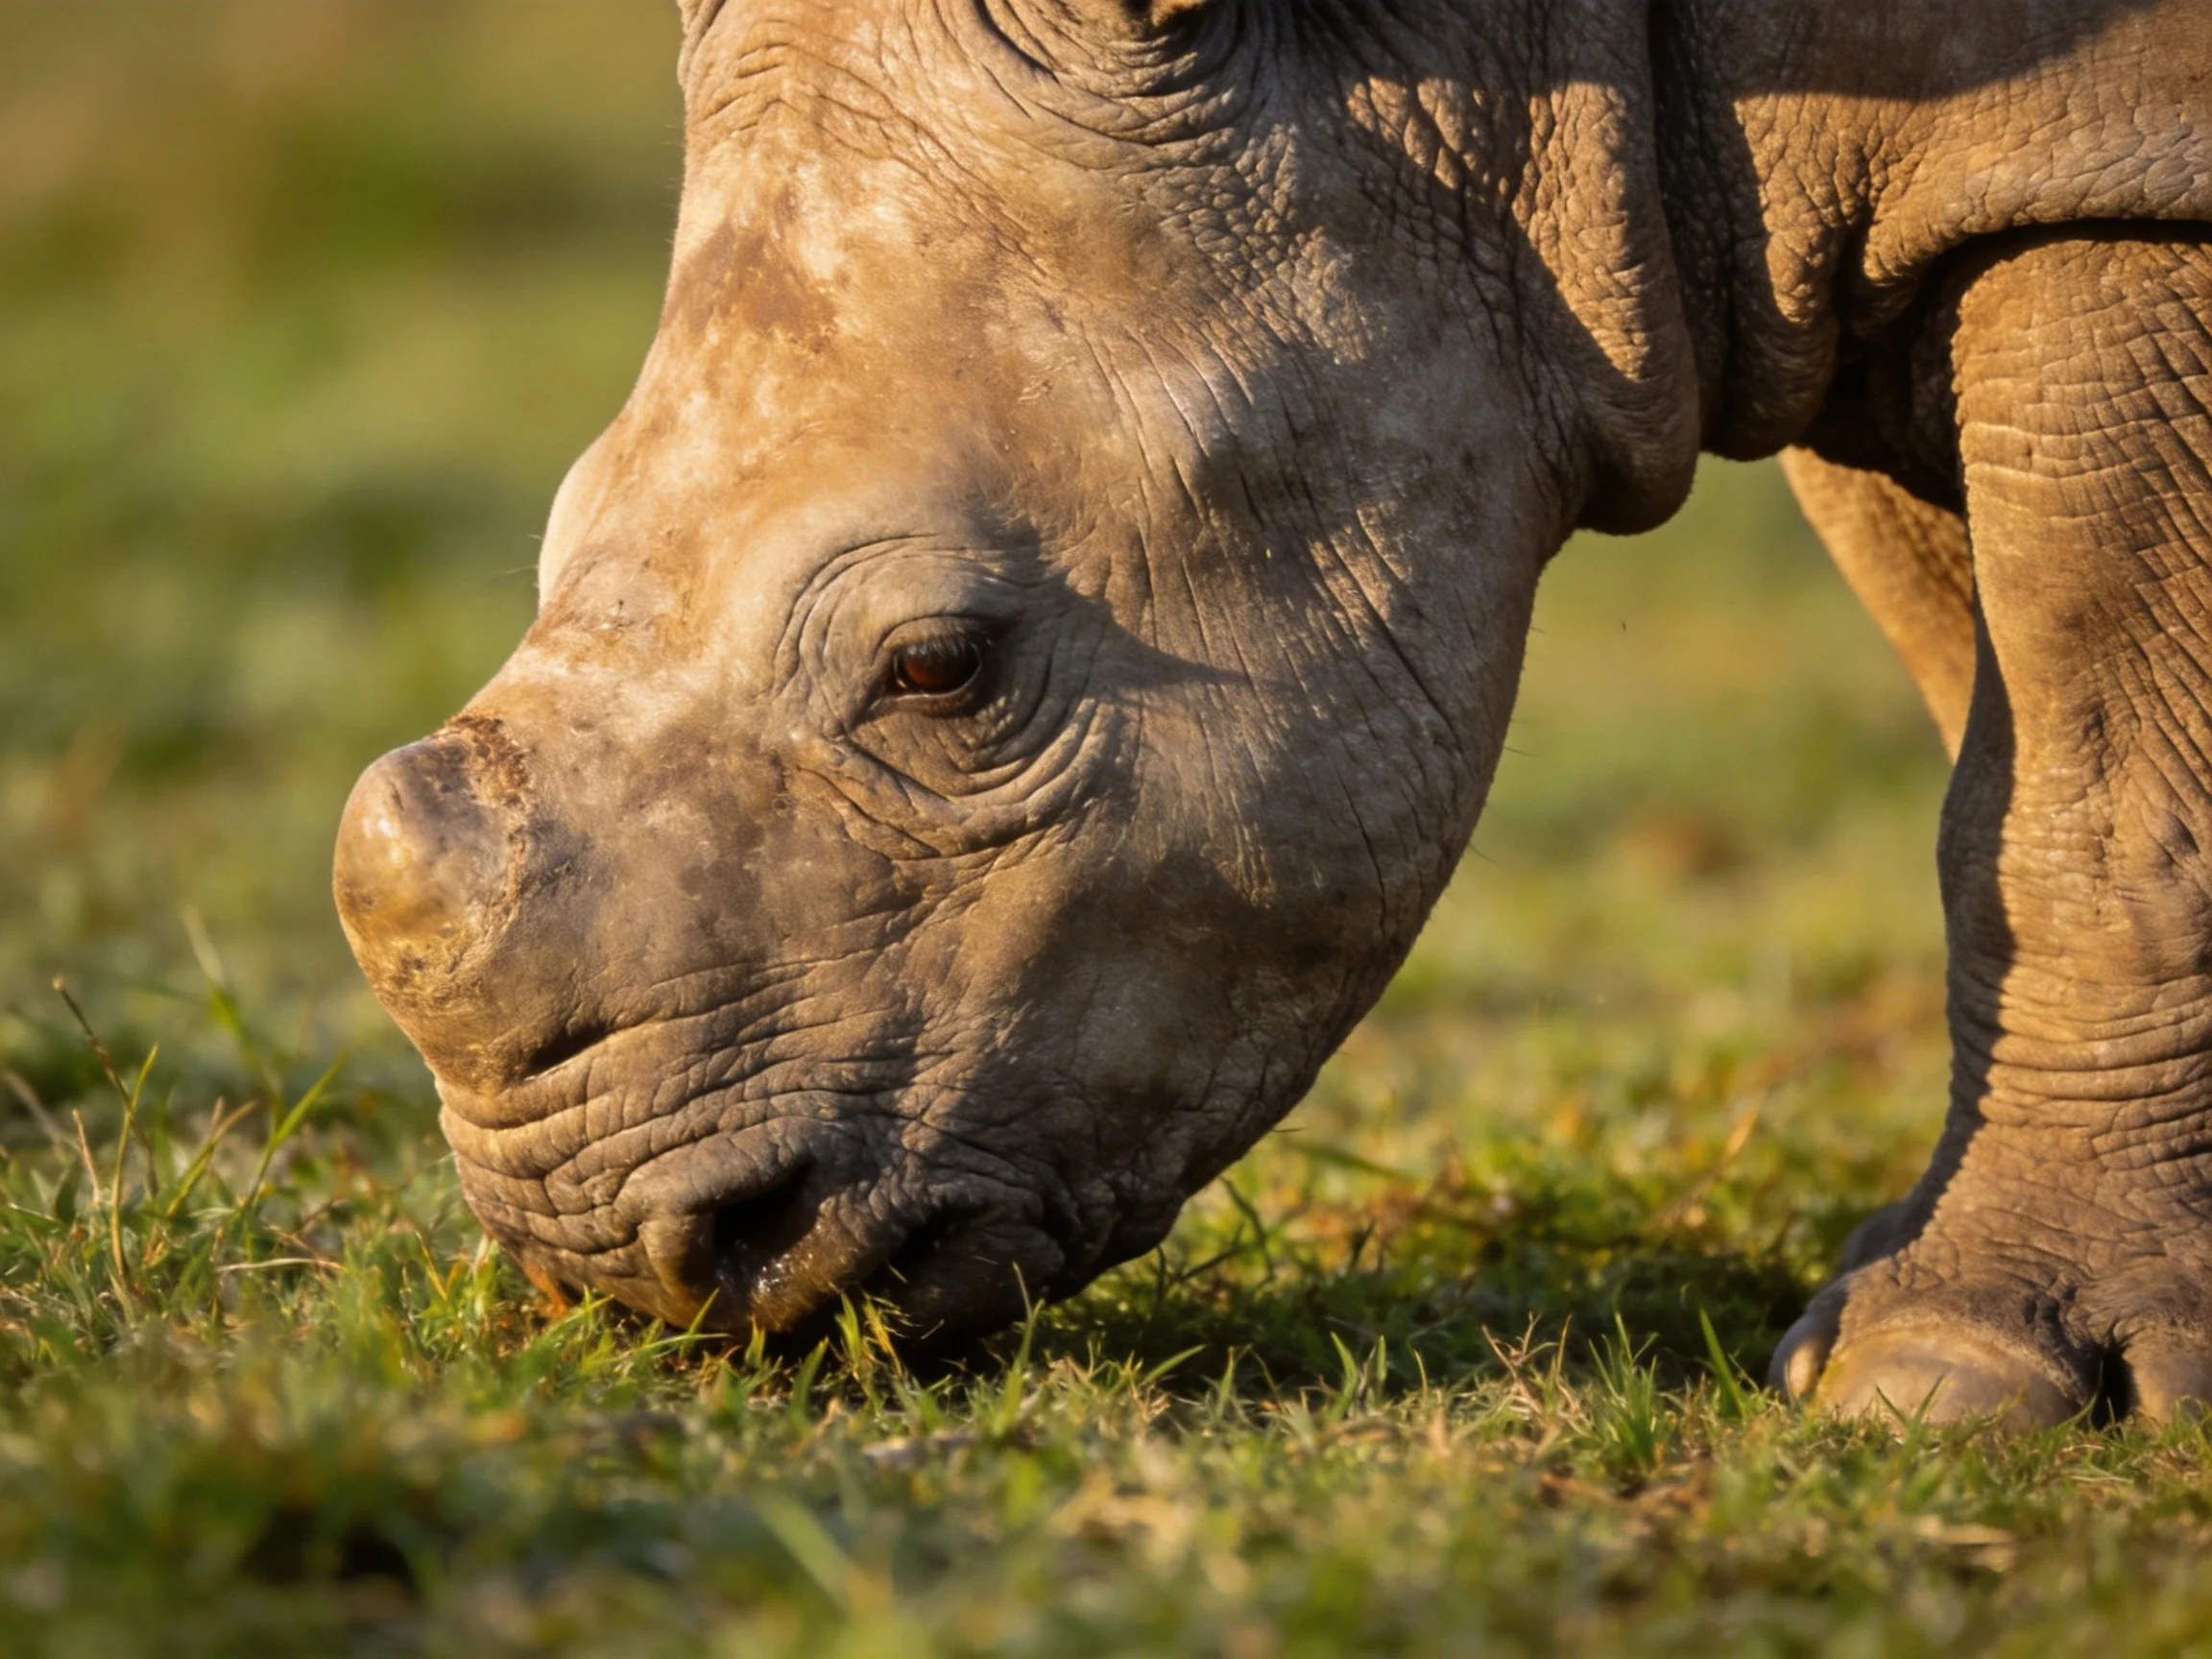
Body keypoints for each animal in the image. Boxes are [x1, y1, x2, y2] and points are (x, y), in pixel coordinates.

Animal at [333, 0, 2212, 1428]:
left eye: (941, 668)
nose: (599, 1269)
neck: (1498, 68)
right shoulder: (1878, 210)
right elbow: (1981, 674)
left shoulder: (2099, 168)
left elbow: (2086, 773)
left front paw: (1946, 1384)